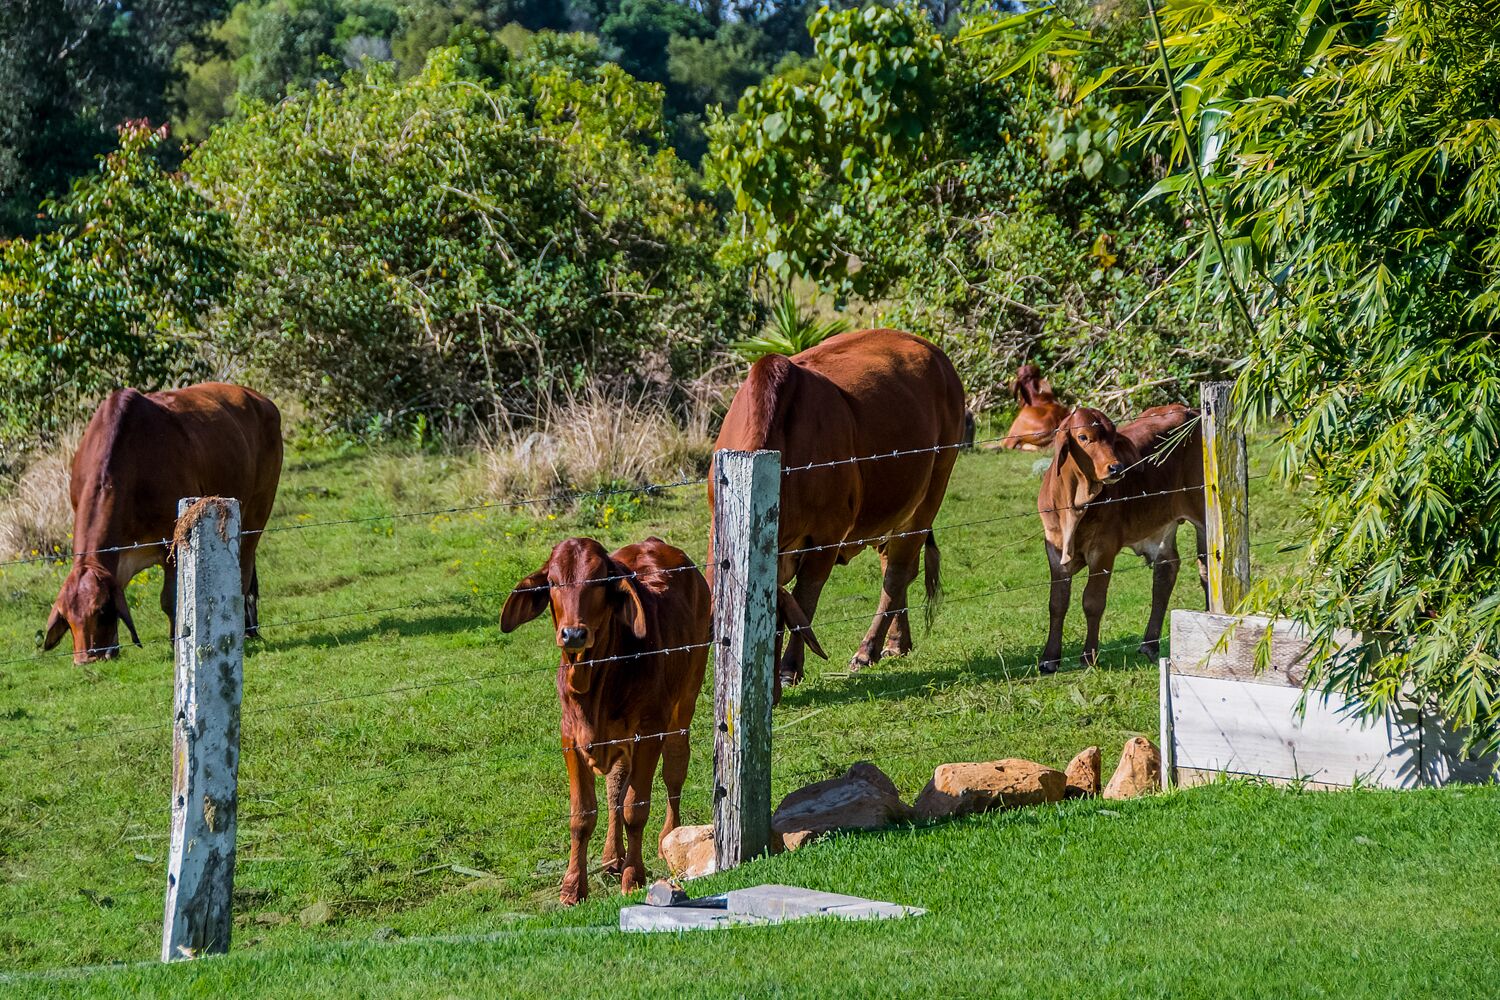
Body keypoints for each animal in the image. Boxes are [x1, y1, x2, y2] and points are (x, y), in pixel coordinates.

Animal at [42, 383, 282, 665]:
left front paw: (176, 641)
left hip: (258, 509)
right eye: (68, 618)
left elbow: (170, 600)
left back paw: (244, 629)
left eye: (101, 612)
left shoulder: (174, 541)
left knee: (244, 570)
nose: (85, 660)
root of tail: (257, 397)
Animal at [501, 539, 711, 905]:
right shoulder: (570, 738)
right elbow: (583, 814)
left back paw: (670, 836)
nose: (573, 634)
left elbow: (635, 808)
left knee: (674, 770)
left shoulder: (648, 732)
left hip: (684, 705)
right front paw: (573, 887)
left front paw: (634, 877)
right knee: (615, 787)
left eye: (600, 581)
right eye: (553, 582)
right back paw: (612, 856)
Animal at [711, 328, 966, 695]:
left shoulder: (825, 538)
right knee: (897, 566)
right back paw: (896, 643)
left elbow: (805, 602)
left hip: (930, 494)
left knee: (897, 572)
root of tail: (933, 351)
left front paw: (790, 669)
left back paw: (867, 649)